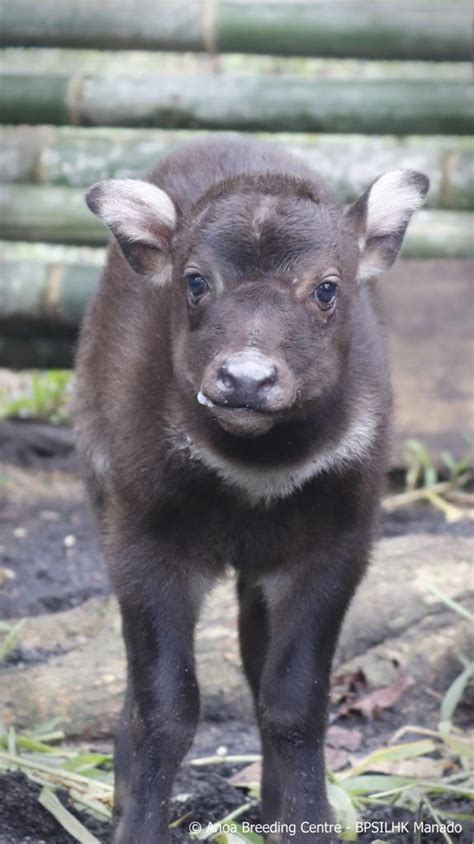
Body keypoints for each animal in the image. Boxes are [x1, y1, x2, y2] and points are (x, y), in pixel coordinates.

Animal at [75, 135, 430, 840]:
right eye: (195, 281)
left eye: (327, 287)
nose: (244, 377)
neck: (255, 470)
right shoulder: (143, 540)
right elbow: (165, 707)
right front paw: (139, 824)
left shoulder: (335, 548)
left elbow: (294, 702)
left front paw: (309, 820)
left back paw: (268, 809)